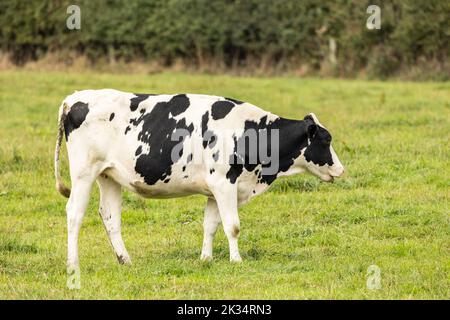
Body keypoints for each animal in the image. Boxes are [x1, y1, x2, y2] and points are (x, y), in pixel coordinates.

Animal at [55, 90, 344, 278]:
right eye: (326, 140)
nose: (341, 169)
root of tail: (74, 99)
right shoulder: (224, 183)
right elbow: (233, 226)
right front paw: (236, 260)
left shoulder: (214, 190)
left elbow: (211, 225)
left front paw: (206, 259)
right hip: (83, 173)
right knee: (74, 214)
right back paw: (72, 264)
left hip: (109, 175)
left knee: (110, 216)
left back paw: (125, 260)